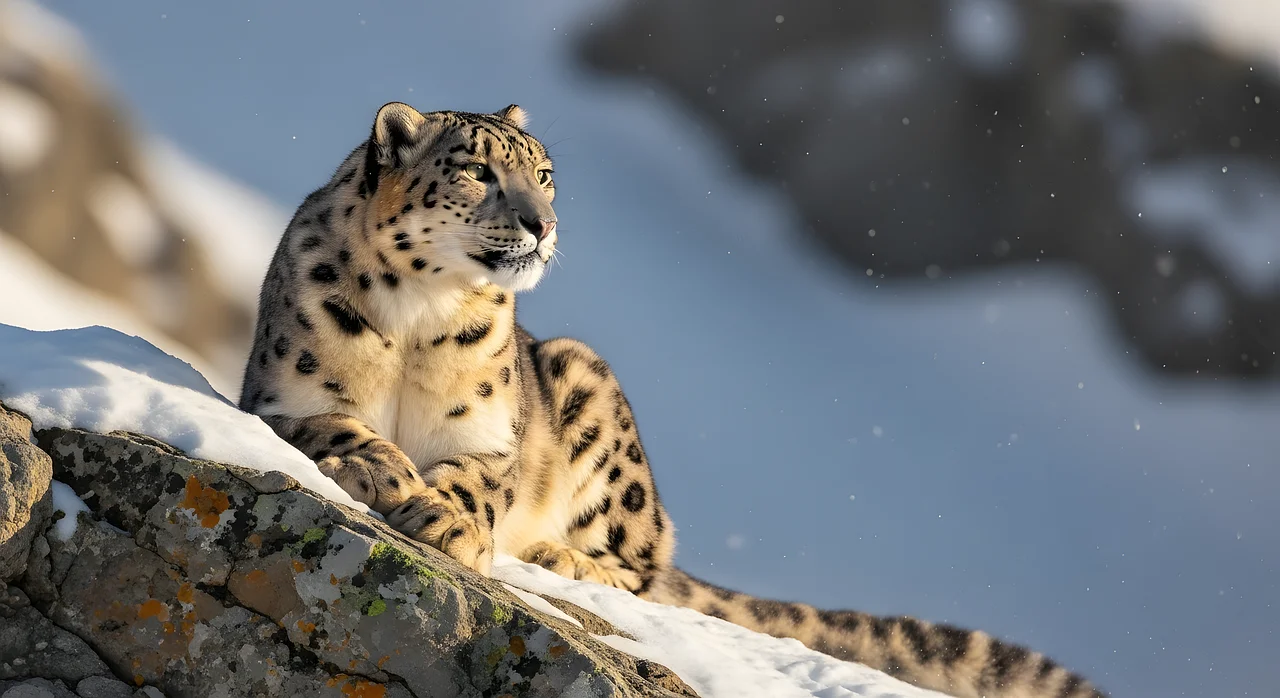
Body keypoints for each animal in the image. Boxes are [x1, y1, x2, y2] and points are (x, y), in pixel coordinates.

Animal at [239, 102, 1108, 698]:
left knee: (644, 562)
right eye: (477, 172)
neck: (420, 315)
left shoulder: (490, 437)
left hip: (594, 398)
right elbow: (338, 427)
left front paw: (446, 516)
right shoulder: (281, 396)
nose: (541, 223)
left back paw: (558, 554)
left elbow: (481, 481)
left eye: (544, 175)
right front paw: (385, 470)